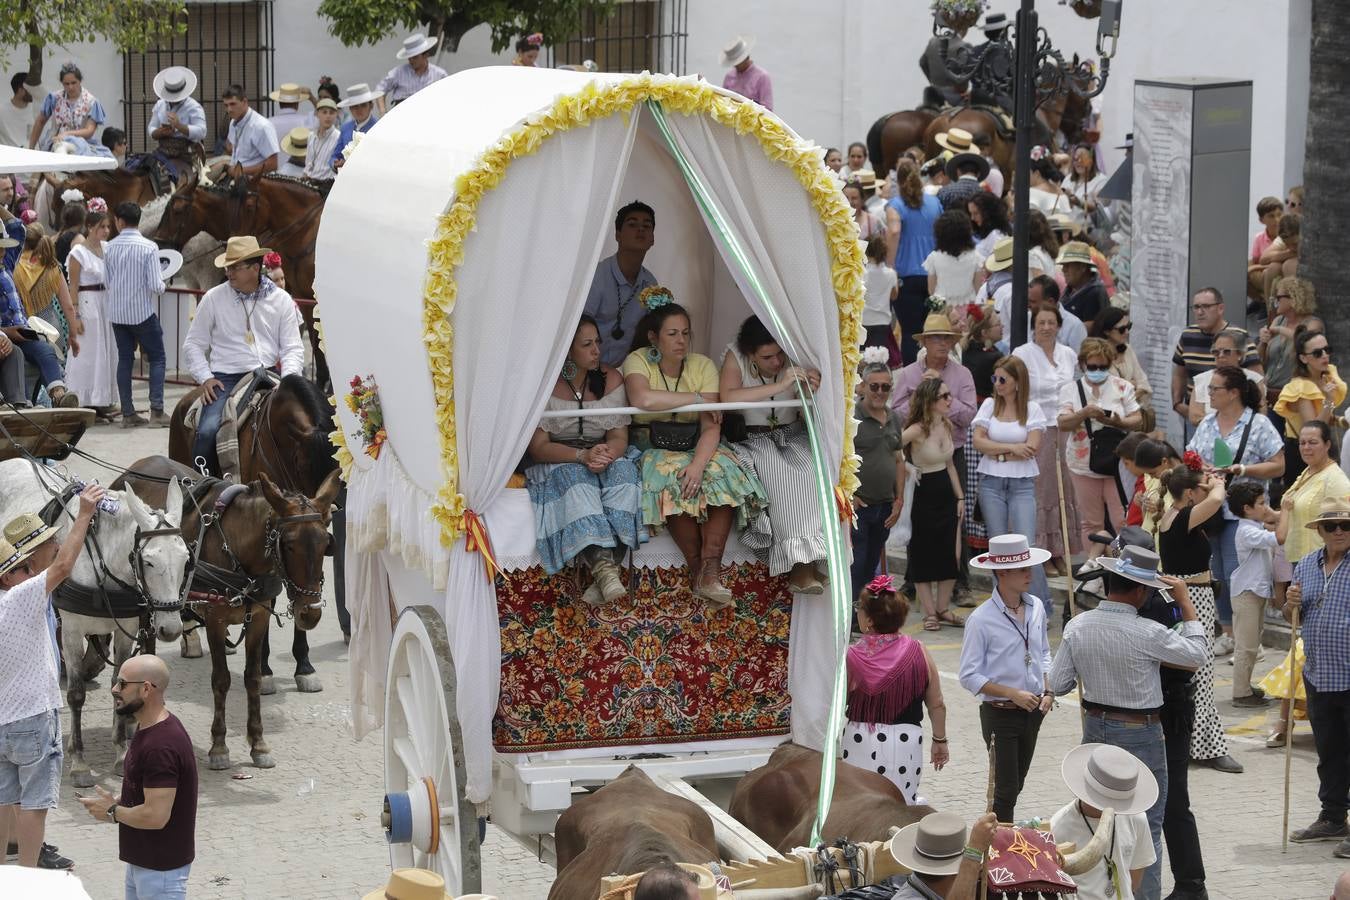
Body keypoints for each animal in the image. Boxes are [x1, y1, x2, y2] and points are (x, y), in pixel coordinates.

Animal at [116, 458, 342, 766]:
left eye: (325, 543)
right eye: (289, 544)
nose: (311, 613)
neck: (238, 549)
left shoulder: (258, 618)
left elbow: (253, 678)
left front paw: (258, 743)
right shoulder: (215, 619)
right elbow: (221, 680)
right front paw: (219, 746)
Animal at [168, 372, 340, 690]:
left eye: (338, 465)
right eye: (301, 462)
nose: (321, 510)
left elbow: (299, 586)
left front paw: (304, 666)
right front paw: (265, 668)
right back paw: (190, 634)